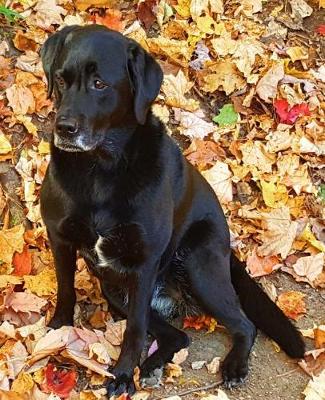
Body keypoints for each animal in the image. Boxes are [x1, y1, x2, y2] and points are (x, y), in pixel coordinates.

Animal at [40, 25, 304, 396]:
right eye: (61, 80)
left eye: (99, 84)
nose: (63, 128)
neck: (100, 172)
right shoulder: (60, 238)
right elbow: (66, 289)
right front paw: (59, 330)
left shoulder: (142, 263)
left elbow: (134, 331)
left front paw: (123, 375)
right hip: (115, 290)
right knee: (179, 336)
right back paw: (152, 365)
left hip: (196, 266)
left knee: (245, 324)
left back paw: (233, 365)